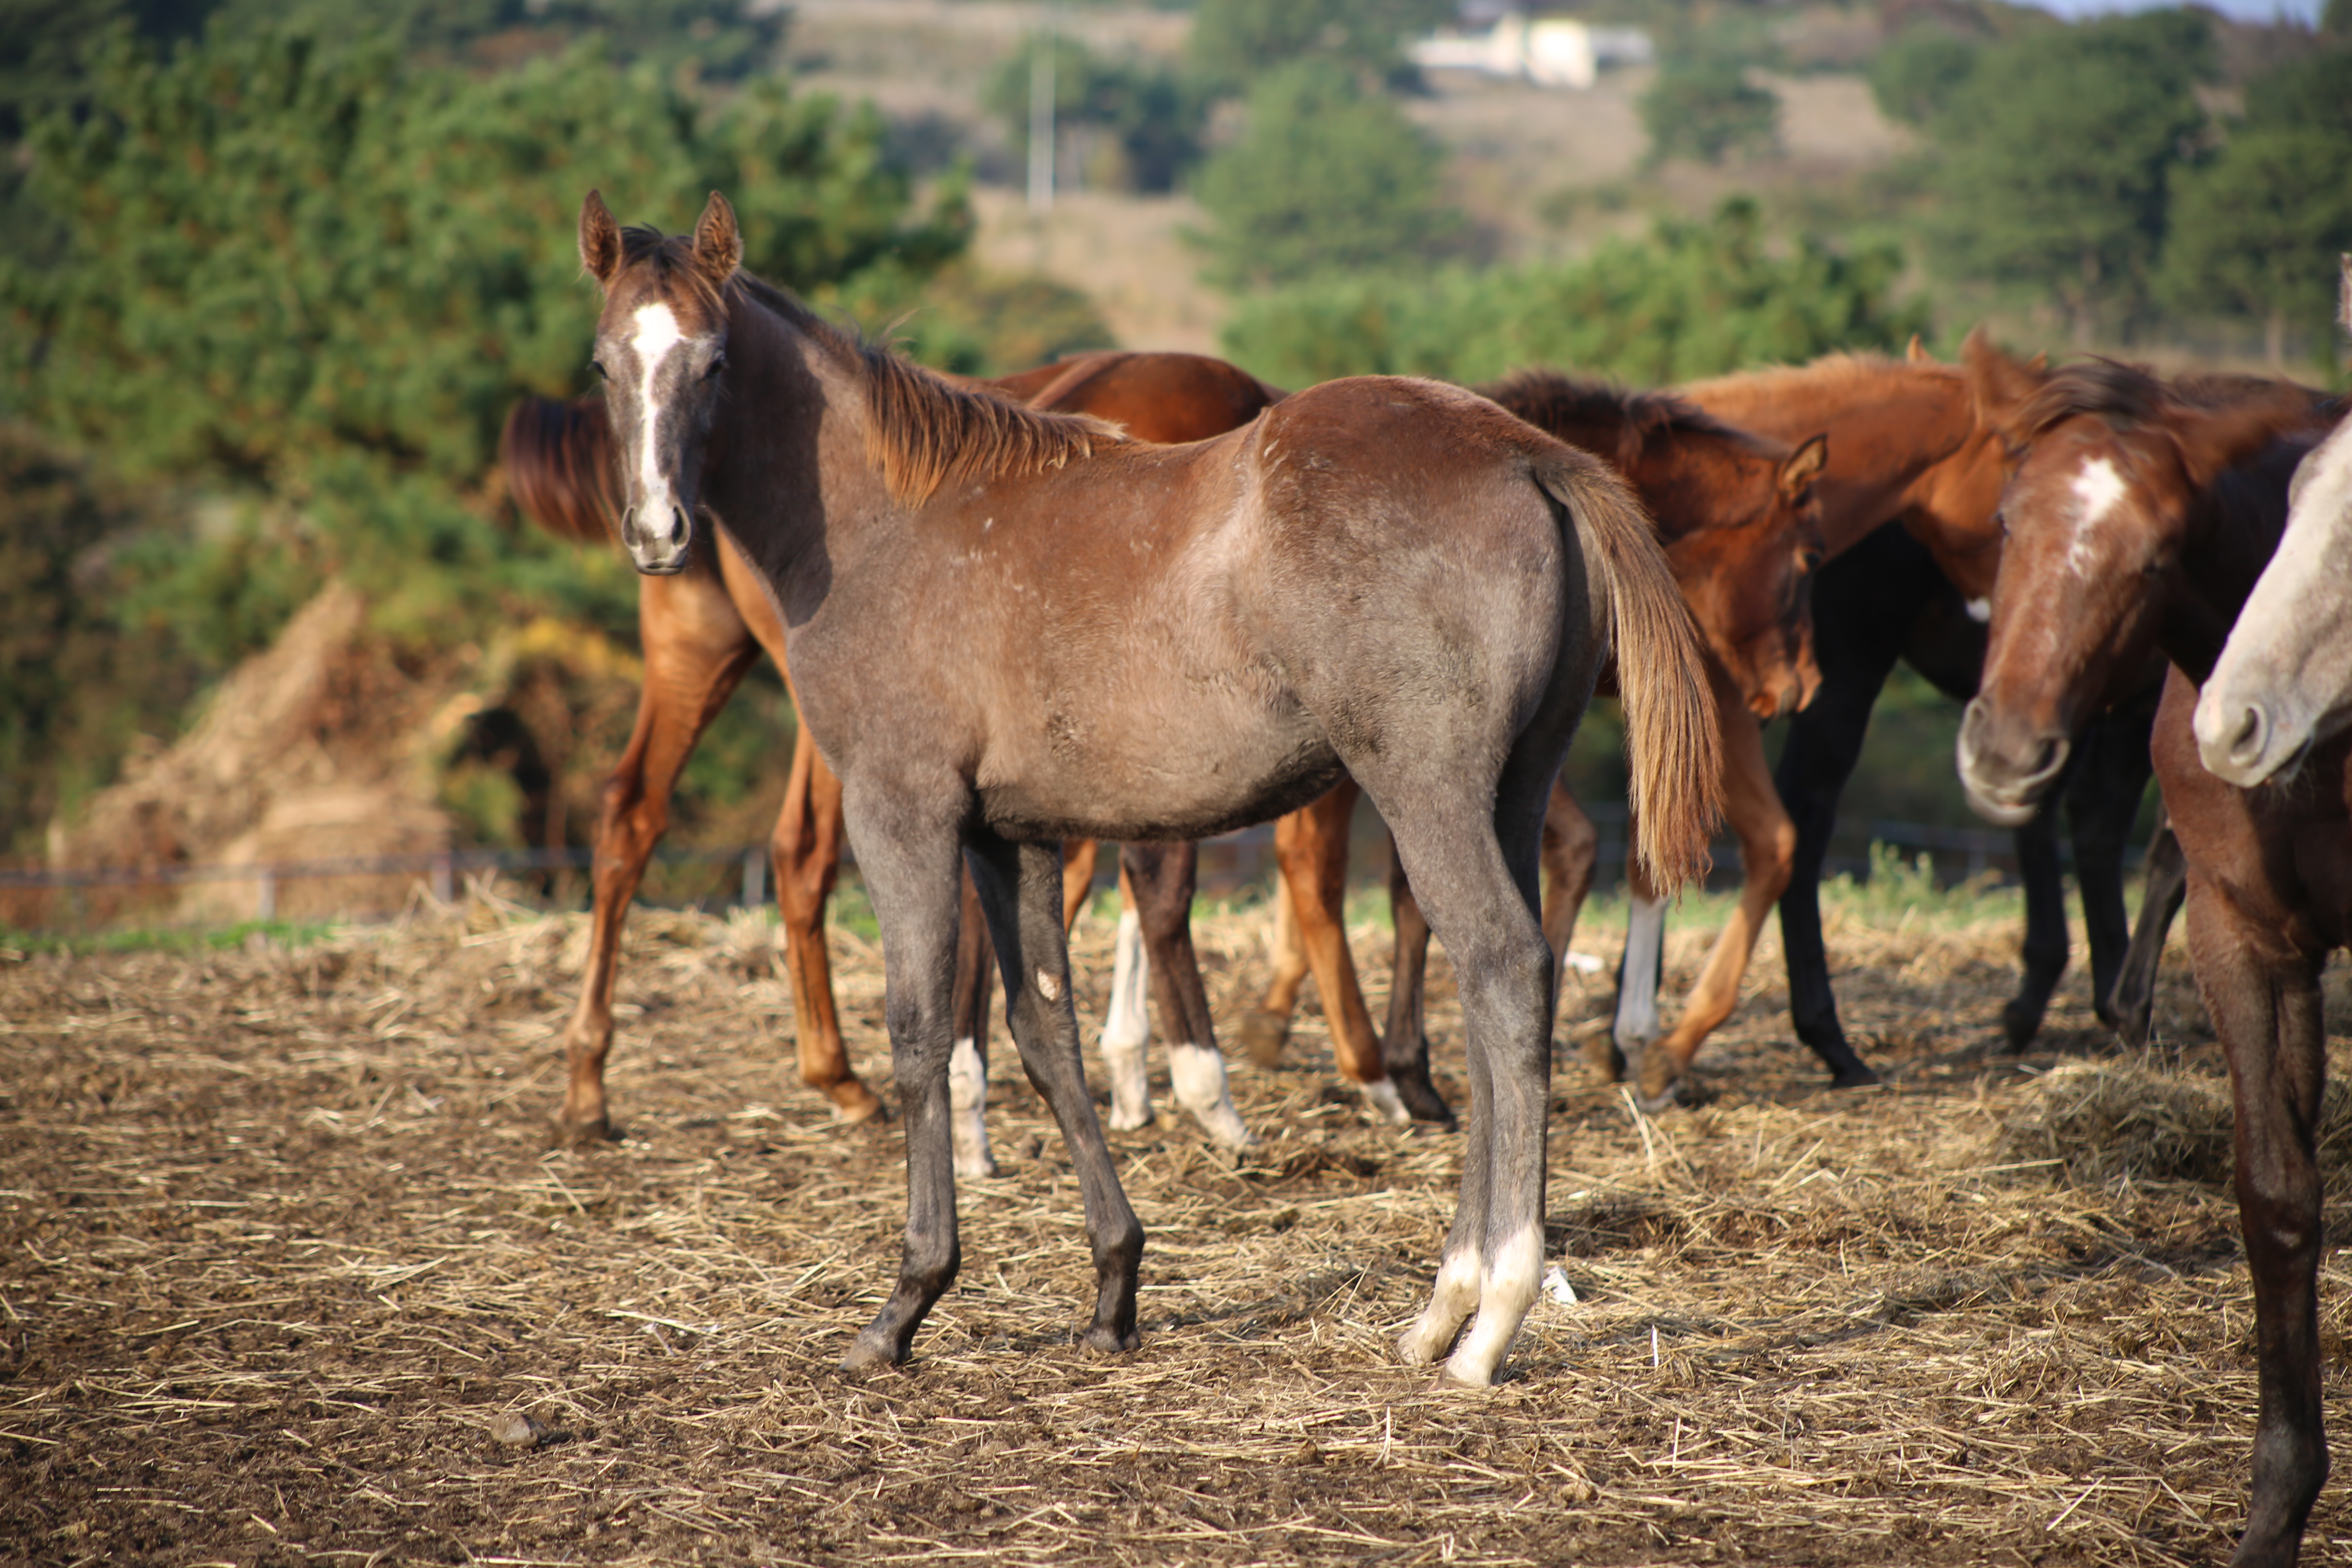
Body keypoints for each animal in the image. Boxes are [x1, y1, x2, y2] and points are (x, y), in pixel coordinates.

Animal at [506, 352, 1289, 1166]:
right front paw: (1203, 1090)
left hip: (699, 649)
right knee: (798, 848)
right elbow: (1163, 887)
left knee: (646, 815)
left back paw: (598, 1084)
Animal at [1947, 355, 2333, 1568]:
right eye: (2005, 519)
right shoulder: (2246, 937)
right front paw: (2276, 1506)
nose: (2006, 750)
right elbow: (2276, 1196)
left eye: (2156, 555)